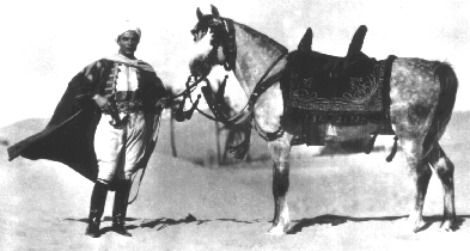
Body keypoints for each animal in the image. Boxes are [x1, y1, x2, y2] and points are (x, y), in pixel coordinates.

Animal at [188, 4, 458, 235]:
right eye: (195, 35)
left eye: (214, 37)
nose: (193, 68)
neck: (273, 78)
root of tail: (437, 68)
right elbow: (278, 185)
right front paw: (277, 224)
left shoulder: (280, 143)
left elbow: (279, 185)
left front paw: (279, 228)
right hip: (428, 139)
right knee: (444, 169)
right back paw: (446, 223)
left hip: (411, 138)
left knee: (421, 175)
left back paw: (413, 224)